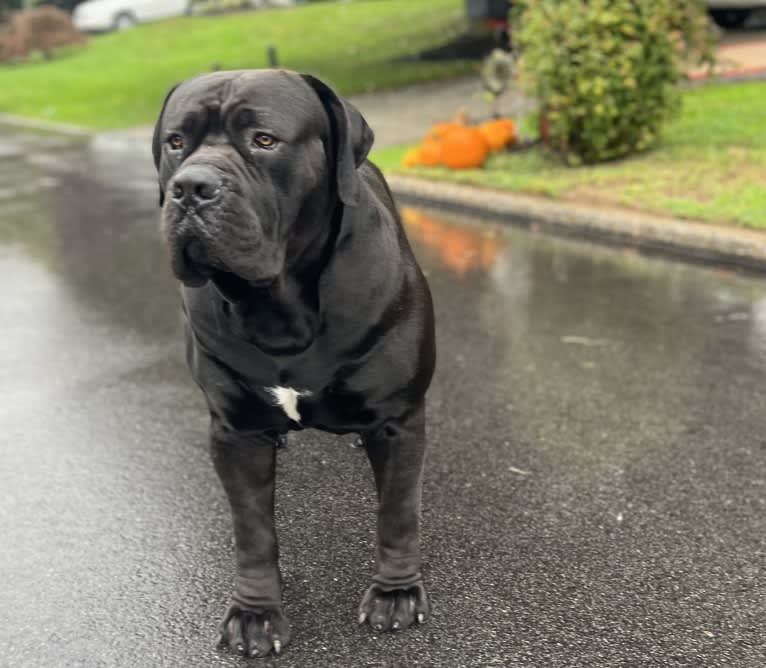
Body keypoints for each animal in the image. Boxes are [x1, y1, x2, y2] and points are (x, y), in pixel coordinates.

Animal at [152, 72, 438, 656]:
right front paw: (255, 613)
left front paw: (396, 592)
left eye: (264, 139)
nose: (191, 187)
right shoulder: (236, 432)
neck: (279, 307)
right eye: (176, 142)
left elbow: (398, 511)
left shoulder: (399, 420)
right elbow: (253, 530)